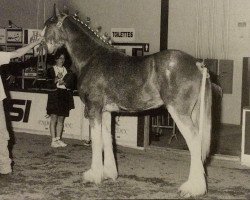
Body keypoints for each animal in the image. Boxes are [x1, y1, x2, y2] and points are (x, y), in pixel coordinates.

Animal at [42, 7, 212, 198]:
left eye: (48, 24)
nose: (43, 48)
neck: (92, 57)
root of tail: (197, 64)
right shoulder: (106, 111)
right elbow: (107, 138)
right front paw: (109, 173)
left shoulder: (94, 108)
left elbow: (96, 140)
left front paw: (94, 175)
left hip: (179, 112)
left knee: (194, 142)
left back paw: (192, 188)